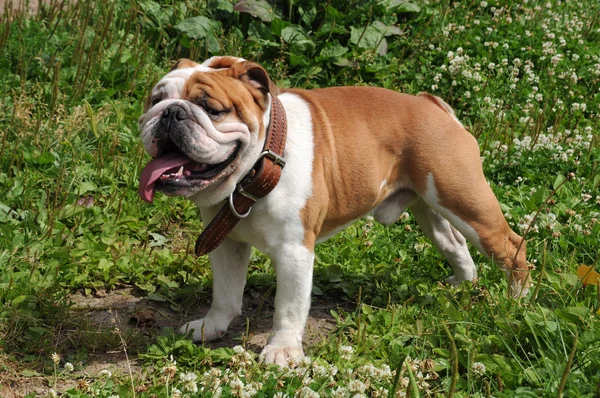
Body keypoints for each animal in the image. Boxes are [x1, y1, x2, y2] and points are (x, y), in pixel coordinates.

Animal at [138, 56, 532, 366]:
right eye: (156, 99)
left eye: (212, 109)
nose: (170, 113)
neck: (258, 166)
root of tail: (431, 103)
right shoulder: (226, 243)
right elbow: (225, 292)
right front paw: (211, 326)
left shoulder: (295, 252)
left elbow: (289, 306)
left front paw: (282, 351)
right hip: (430, 206)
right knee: (454, 244)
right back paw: (462, 286)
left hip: (466, 202)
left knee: (511, 247)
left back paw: (516, 305)